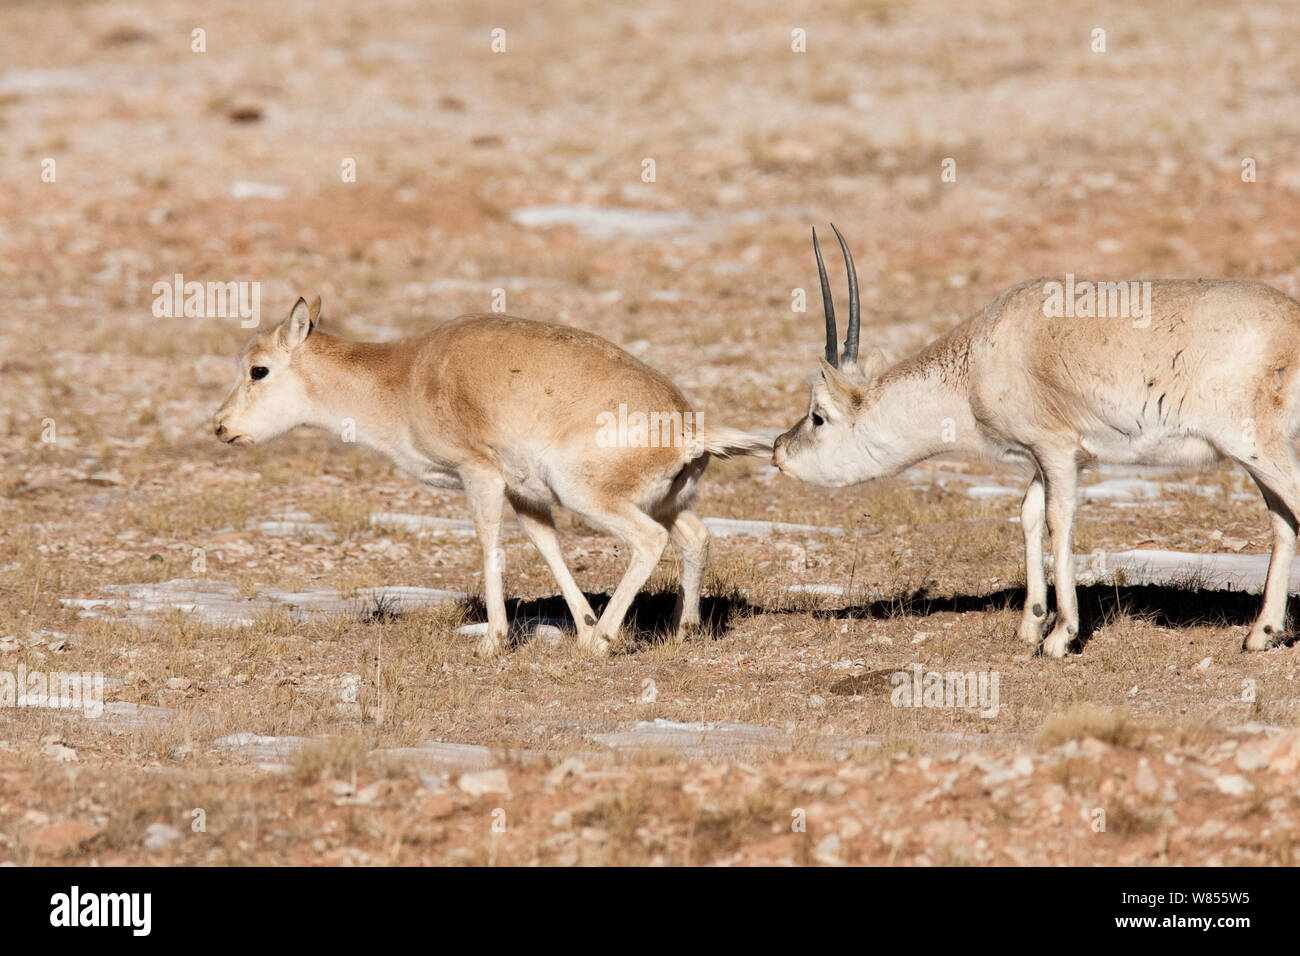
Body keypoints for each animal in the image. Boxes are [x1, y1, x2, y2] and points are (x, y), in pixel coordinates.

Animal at [208, 299, 764, 658]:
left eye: (258, 370)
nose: (220, 427)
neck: (405, 374)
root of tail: (688, 429)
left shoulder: (481, 478)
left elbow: (489, 544)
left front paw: (497, 640)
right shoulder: (526, 497)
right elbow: (548, 548)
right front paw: (582, 628)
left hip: (591, 499)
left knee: (649, 541)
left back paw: (605, 643)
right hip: (668, 504)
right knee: (696, 536)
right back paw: (680, 630)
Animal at [774, 223, 1300, 658]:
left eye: (818, 417)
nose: (779, 450)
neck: (979, 357)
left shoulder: (1057, 449)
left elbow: (1056, 519)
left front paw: (1060, 636)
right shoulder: (1042, 458)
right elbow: (1028, 513)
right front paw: (1030, 623)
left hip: (1254, 446)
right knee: (1282, 520)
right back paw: (1261, 633)